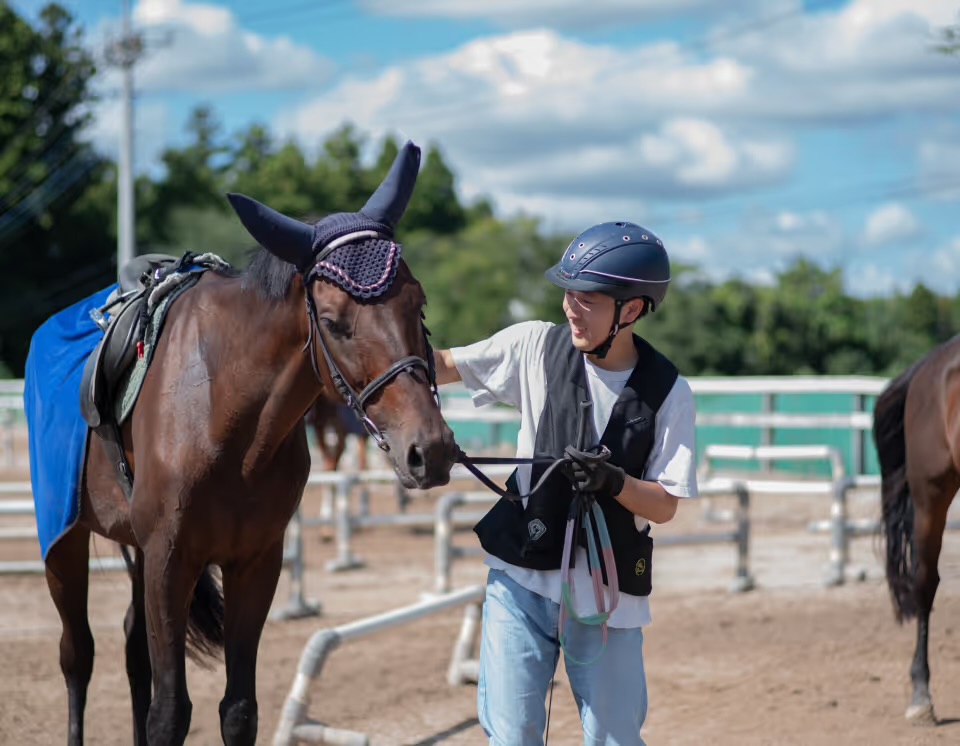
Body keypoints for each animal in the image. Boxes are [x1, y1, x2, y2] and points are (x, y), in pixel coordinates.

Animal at [35, 141, 456, 744]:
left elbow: (239, 709)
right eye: (334, 321)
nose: (431, 450)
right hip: (63, 539)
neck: (224, 416)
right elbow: (170, 711)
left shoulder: (255, 562)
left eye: (417, 304)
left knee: (132, 649)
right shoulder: (169, 560)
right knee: (77, 655)